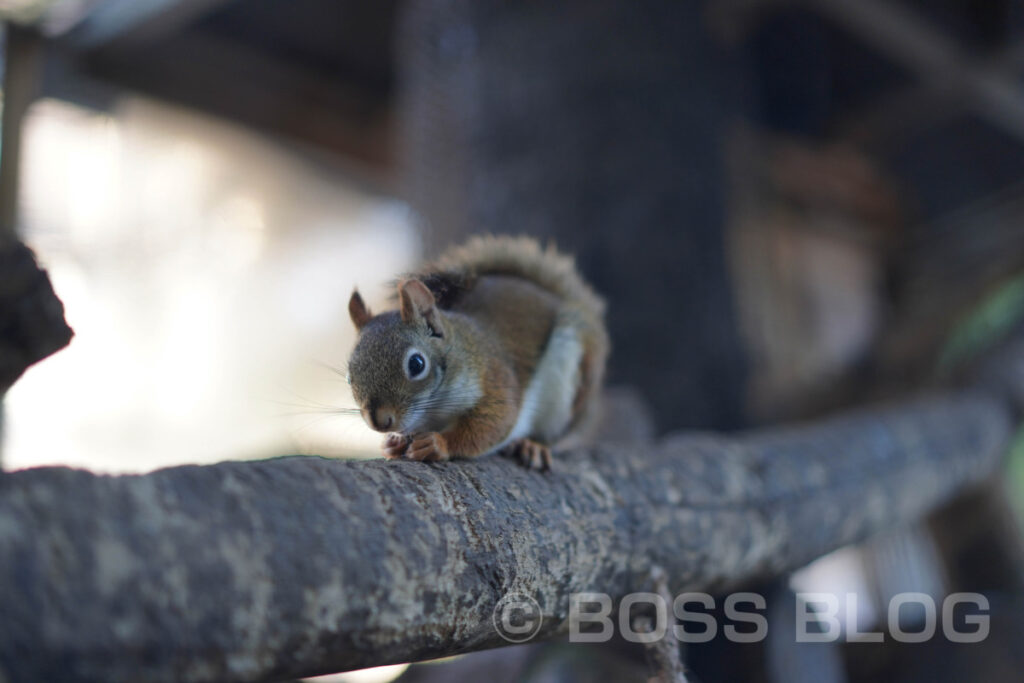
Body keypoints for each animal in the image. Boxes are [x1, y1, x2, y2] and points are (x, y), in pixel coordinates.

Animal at [348, 236, 610, 471]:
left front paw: (438, 444)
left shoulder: (493, 376)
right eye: (349, 376)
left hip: (570, 386)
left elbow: (493, 422)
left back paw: (533, 445)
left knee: (560, 434)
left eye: (417, 364)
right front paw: (393, 442)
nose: (380, 422)